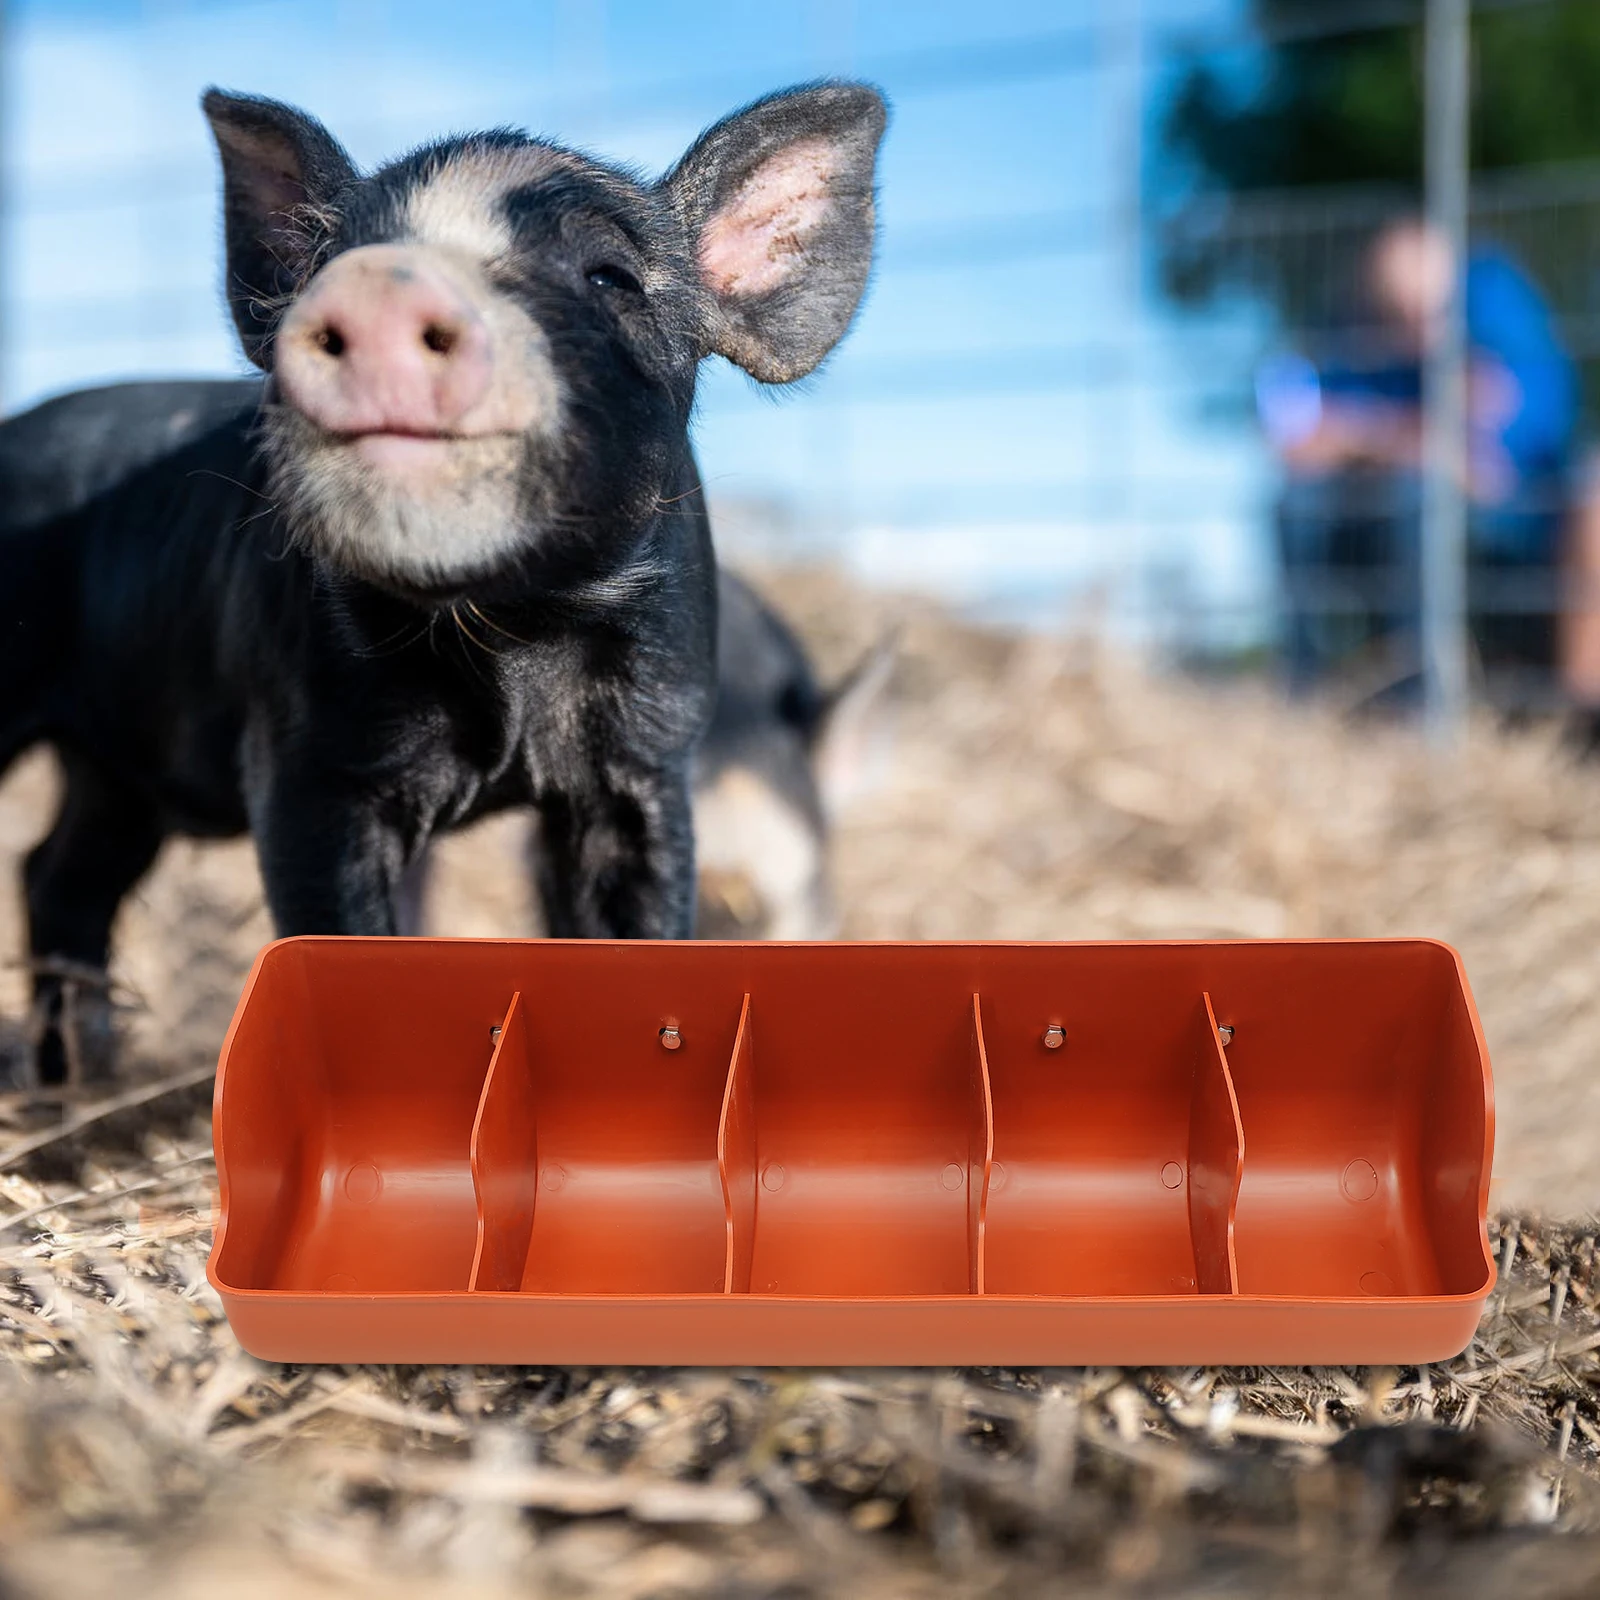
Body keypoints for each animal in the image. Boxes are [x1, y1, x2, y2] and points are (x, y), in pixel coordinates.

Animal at [0, 82, 887, 1082]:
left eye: (610, 277)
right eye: (331, 263)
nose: (382, 281)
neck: (512, 635)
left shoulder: (649, 762)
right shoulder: (308, 761)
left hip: (118, 769)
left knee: (59, 873)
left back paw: (76, 1081)